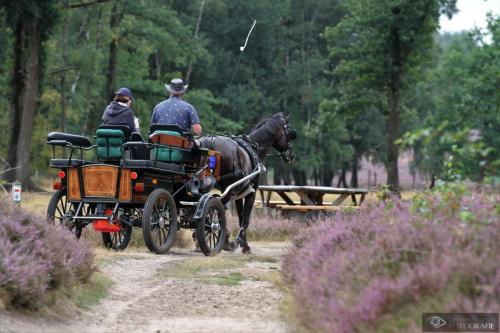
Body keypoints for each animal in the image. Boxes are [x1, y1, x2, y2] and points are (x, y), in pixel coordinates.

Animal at [197, 111, 294, 252]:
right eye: (288, 134)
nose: (291, 156)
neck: (255, 148)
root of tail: (209, 142)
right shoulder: (251, 191)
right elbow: (246, 219)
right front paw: (241, 243)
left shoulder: (239, 193)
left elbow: (240, 217)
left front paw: (243, 243)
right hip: (228, 191)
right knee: (216, 207)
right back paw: (221, 236)